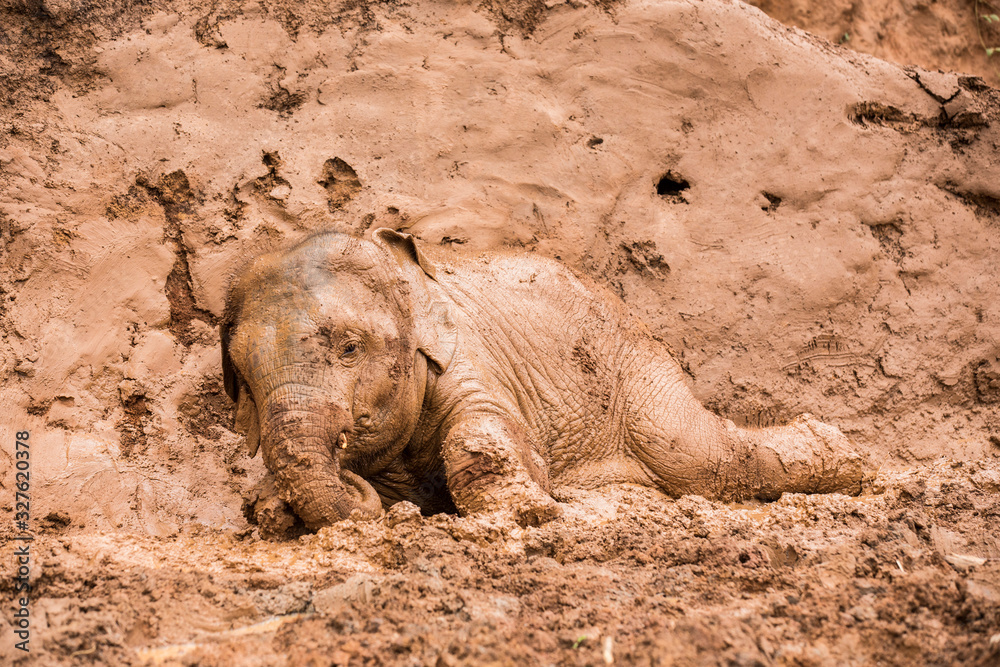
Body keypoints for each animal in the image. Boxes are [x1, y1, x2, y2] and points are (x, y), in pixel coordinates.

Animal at [221, 228, 865, 531]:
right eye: (242, 378)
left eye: (350, 348)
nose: (351, 475)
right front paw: (269, 509)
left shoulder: (470, 356)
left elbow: (483, 436)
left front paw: (528, 514)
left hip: (637, 370)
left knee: (702, 455)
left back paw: (845, 457)